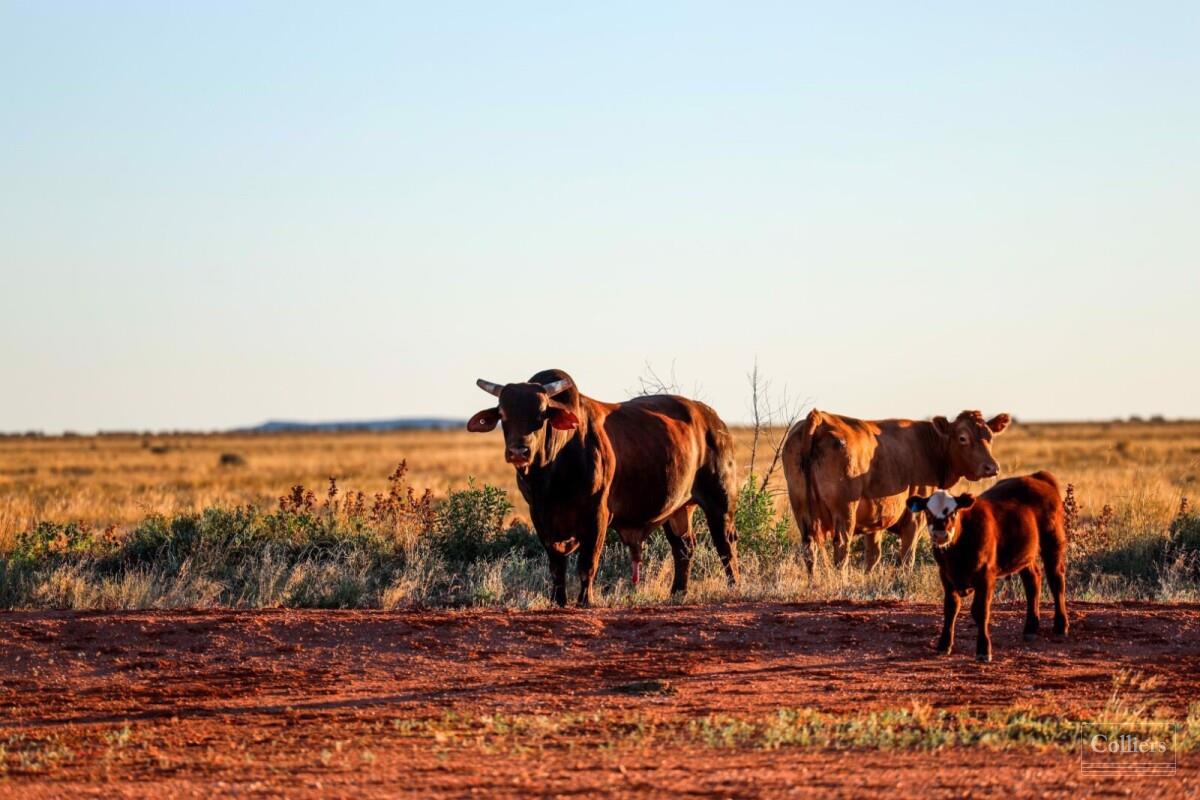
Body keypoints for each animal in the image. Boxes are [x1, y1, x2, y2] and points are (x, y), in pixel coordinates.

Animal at [466, 369, 740, 606]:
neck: (551, 474)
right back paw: (678, 593)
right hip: (677, 509)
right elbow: (556, 565)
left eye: (542, 414)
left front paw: (585, 601)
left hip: (720, 502)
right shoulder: (540, 516)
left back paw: (734, 587)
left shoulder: (597, 514)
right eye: (503, 414)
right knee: (683, 548)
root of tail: (712, 419)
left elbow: (587, 563)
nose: (518, 451)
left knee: (725, 546)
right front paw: (558, 600)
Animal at [782, 409, 1011, 573]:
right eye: (963, 438)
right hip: (844, 512)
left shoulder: (874, 520)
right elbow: (907, 557)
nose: (992, 467)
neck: (929, 446)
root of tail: (819, 417)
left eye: (990, 436)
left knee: (809, 548)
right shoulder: (915, 518)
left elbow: (873, 557)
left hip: (802, 510)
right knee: (841, 549)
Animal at [906, 471, 1069, 662]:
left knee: (1056, 581)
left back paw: (1061, 626)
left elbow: (980, 611)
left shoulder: (985, 576)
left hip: (1053, 543)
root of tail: (1037, 477)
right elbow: (950, 609)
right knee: (1033, 580)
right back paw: (1031, 628)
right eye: (928, 512)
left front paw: (984, 649)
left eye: (954, 512)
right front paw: (944, 645)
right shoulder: (946, 576)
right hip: (1025, 555)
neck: (957, 552)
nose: (940, 534)